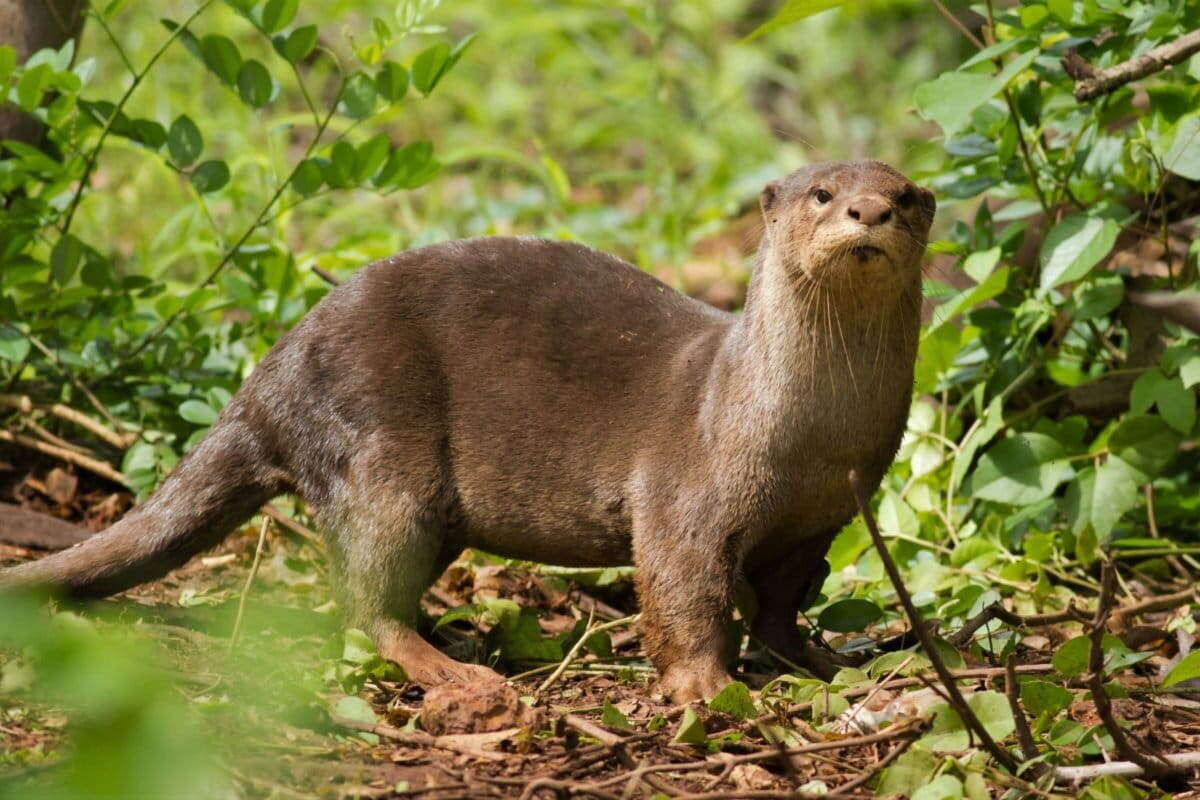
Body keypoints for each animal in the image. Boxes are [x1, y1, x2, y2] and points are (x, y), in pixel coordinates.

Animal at [0, 161, 934, 702]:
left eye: (905, 197)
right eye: (822, 195)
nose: (867, 213)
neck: (807, 436)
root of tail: (270, 375)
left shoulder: (823, 515)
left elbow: (781, 604)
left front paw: (835, 663)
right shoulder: (686, 495)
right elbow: (684, 588)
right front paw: (705, 686)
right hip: (378, 449)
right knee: (362, 600)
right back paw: (454, 673)